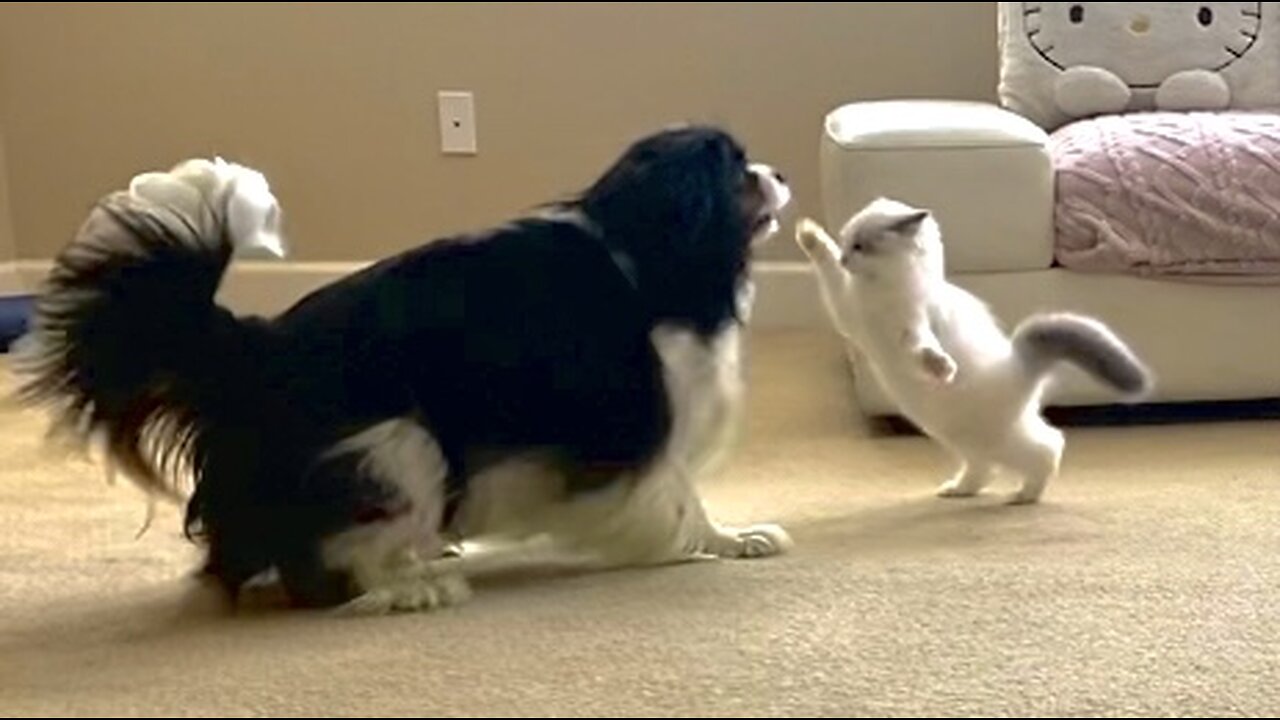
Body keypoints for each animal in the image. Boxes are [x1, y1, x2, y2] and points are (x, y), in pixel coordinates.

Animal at [15, 126, 788, 607]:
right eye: (738, 169)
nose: (779, 172)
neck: (645, 245)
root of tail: (255, 351)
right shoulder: (644, 419)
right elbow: (681, 496)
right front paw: (724, 542)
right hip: (399, 443)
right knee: (322, 568)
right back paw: (409, 587)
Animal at [793, 196, 1157, 499]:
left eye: (860, 246)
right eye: (845, 243)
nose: (845, 258)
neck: (879, 291)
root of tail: (1019, 364)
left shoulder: (912, 325)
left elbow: (923, 348)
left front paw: (942, 368)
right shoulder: (846, 311)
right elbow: (827, 268)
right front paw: (809, 235)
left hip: (989, 439)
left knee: (1048, 448)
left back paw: (1024, 496)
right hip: (961, 439)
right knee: (995, 465)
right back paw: (958, 490)